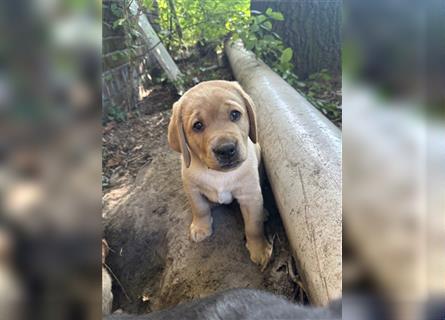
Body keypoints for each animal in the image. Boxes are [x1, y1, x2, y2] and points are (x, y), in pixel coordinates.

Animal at [166, 79, 270, 268]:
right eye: (197, 125)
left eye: (235, 114)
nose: (226, 149)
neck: (218, 174)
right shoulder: (191, 188)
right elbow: (199, 208)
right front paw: (201, 228)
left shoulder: (249, 195)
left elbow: (253, 226)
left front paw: (259, 249)